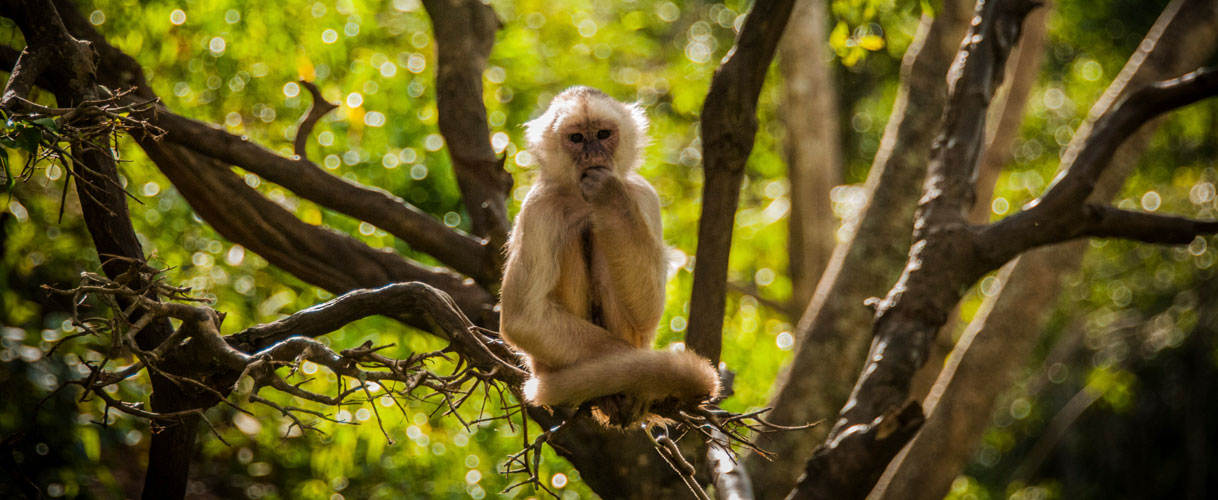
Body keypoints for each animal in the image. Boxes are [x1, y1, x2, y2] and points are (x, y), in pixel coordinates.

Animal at [499, 86, 716, 425]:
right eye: (577, 138)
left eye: (602, 134)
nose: (592, 154)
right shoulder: (539, 206)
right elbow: (524, 319)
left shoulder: (642, 193)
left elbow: (648, 312)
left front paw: (609, 197)